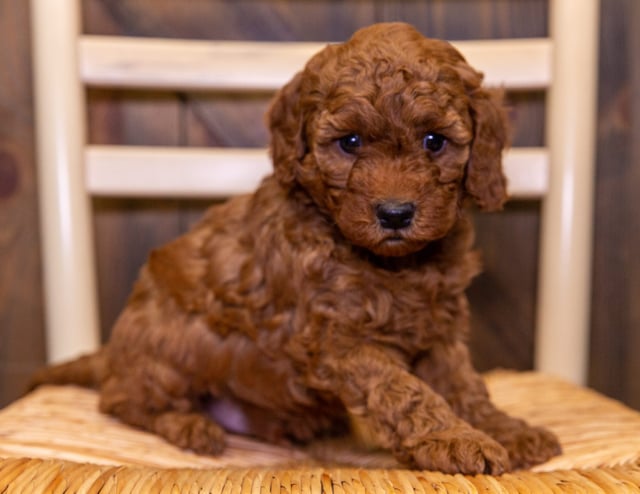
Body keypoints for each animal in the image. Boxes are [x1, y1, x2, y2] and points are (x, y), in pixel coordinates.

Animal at [30, 23, 560, 474]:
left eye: (434, 141)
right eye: (349, 142)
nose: (394, 213)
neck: (391, 264)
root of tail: (110, 356)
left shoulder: (440, 328)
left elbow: (463, 383)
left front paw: (504, 430)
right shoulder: (334, 340)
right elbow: (402, 389)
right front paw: (454, 439)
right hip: (168, 342)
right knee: (123, 400)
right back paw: (190, 425)